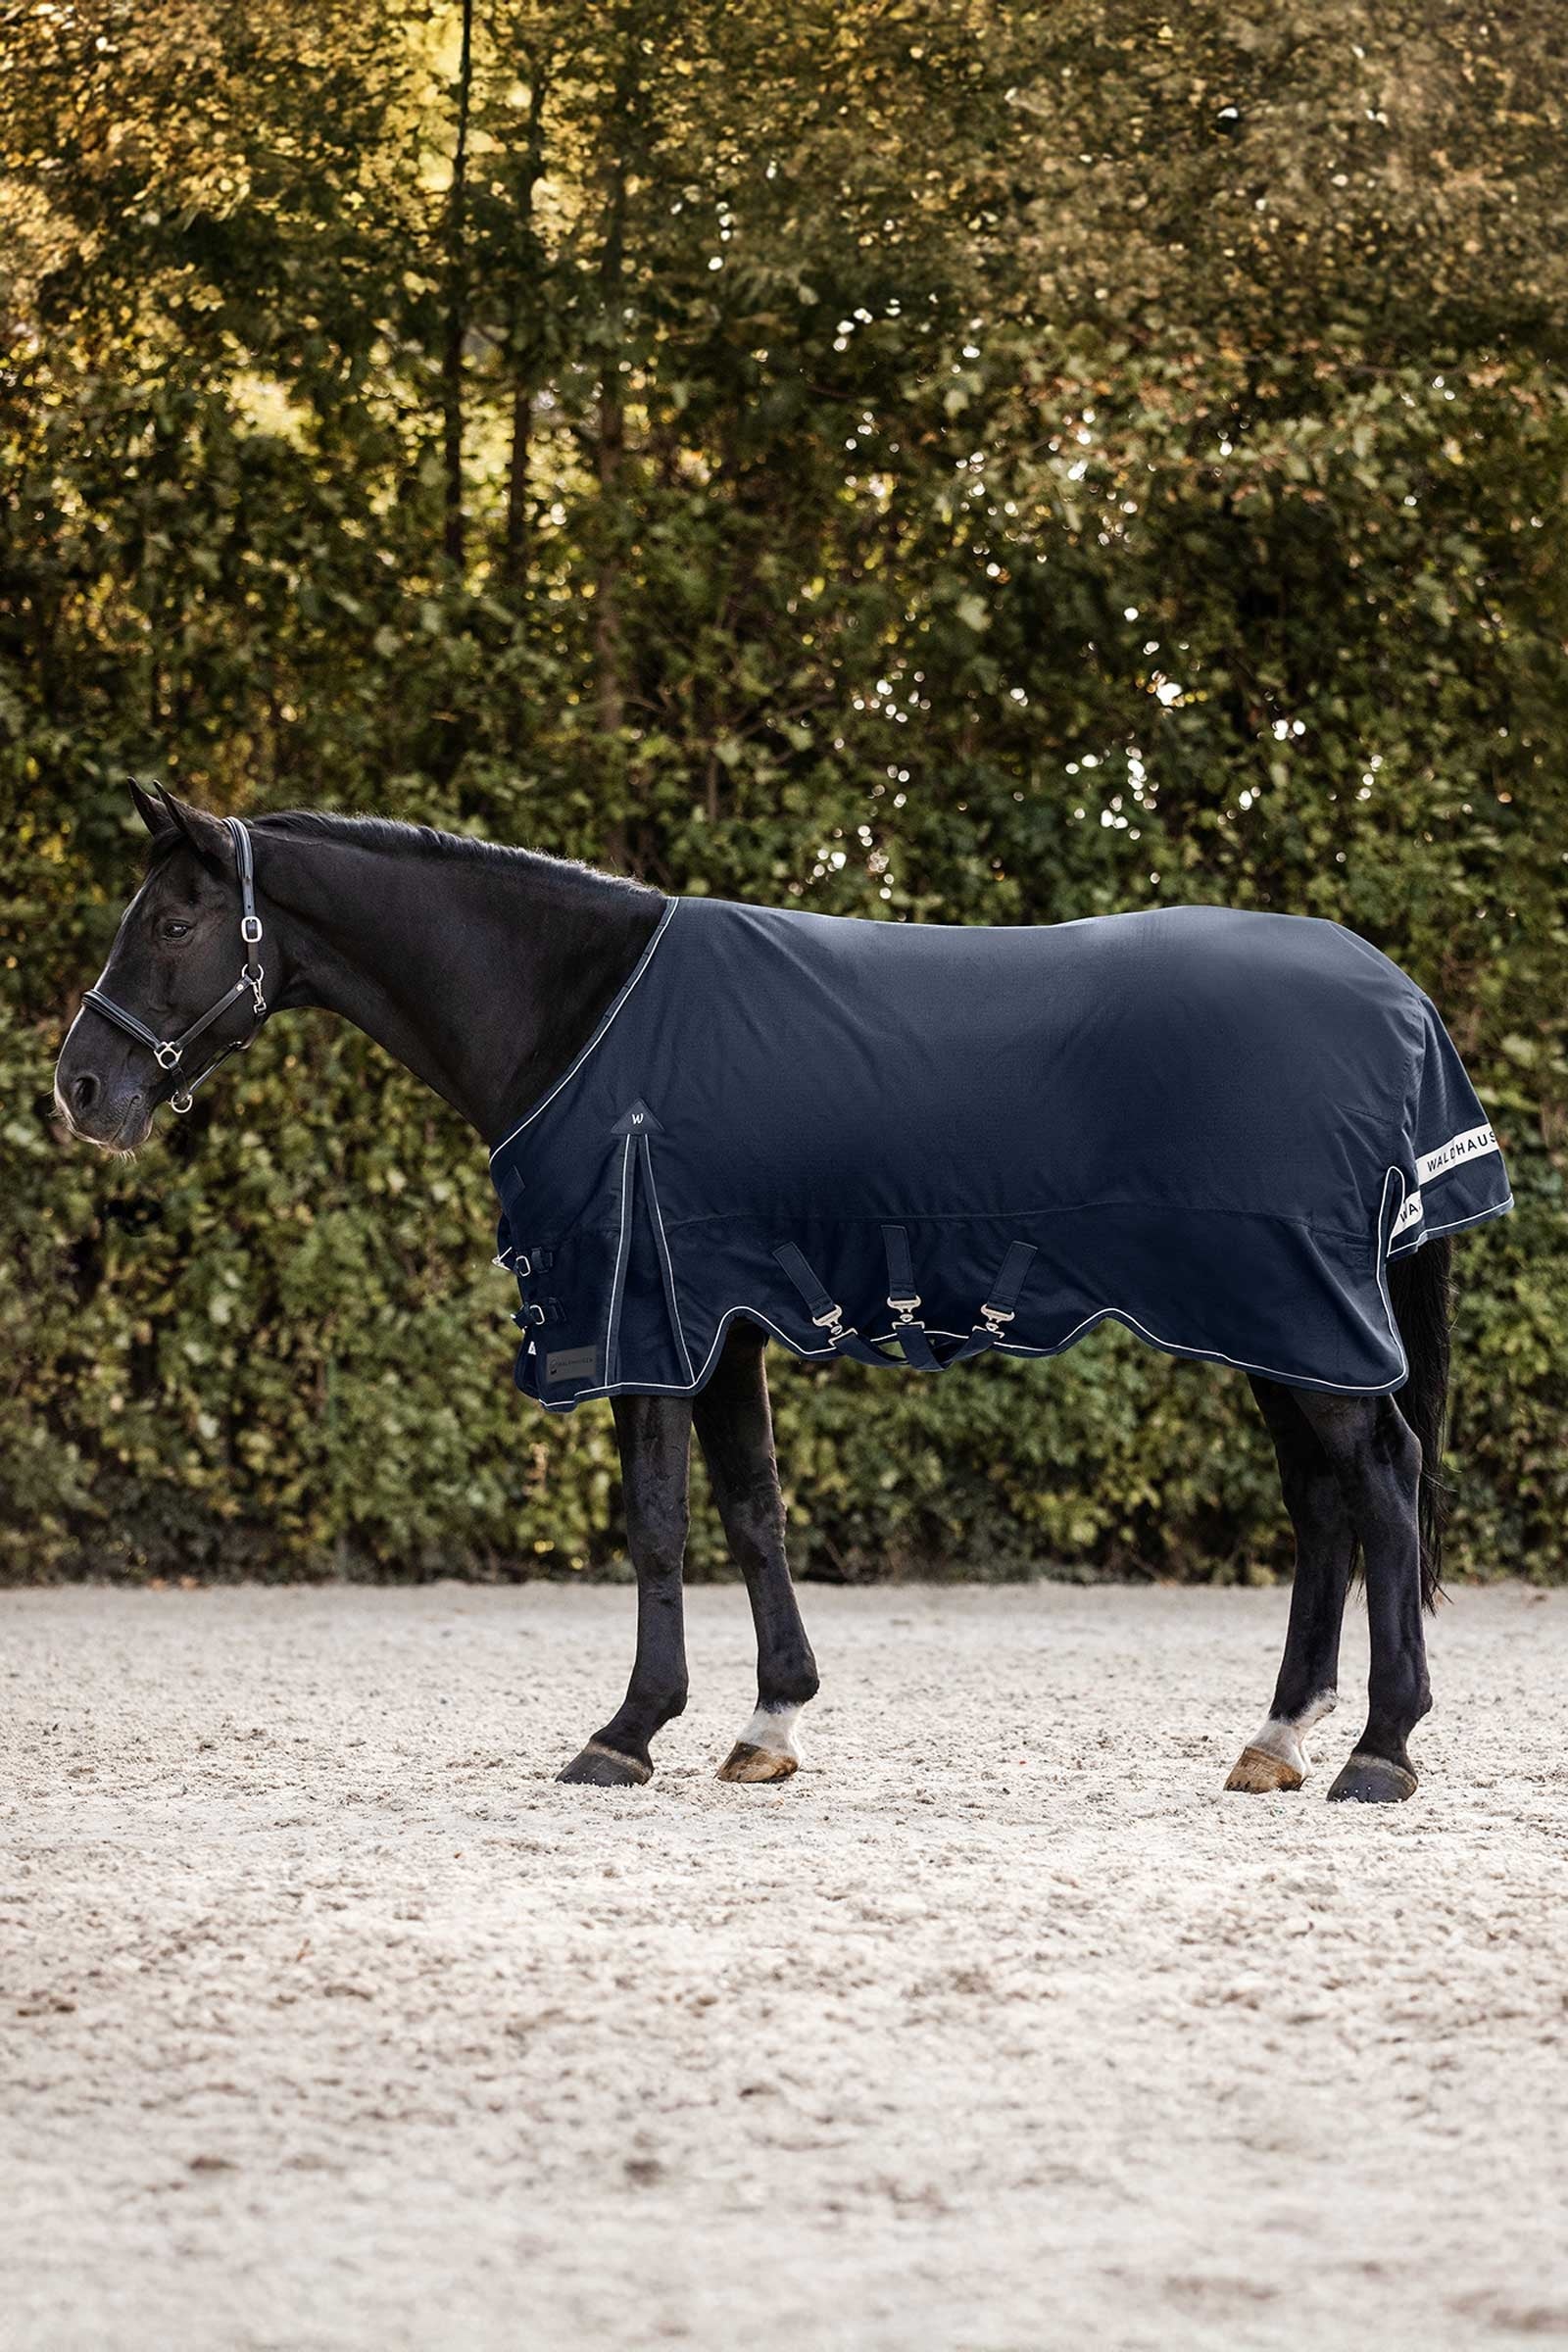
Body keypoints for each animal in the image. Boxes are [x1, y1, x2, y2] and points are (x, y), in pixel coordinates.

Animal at [55, 783, 1510, 1803]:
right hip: (1277, 1325)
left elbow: (655, 1524)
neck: (580, 1013)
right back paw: (1278, 1738)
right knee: (1325, 1503)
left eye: (173, 923)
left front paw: (628, 1731)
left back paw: (1380, 1748)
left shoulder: (646, 1319)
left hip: (1296, 1309)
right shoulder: (722, 1325)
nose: (80, 1089)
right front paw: (768, 1722)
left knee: (1382, 1480)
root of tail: (1396, 999)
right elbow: (752, 1512)